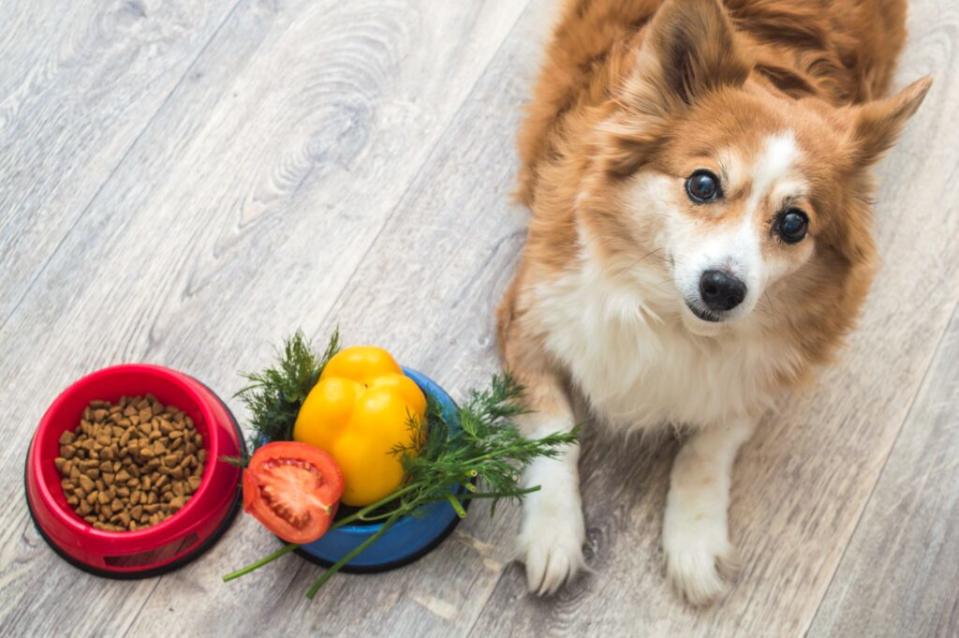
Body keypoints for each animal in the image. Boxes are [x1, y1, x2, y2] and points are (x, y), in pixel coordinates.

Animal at [498, 0, 932, 604]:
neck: (671, 319)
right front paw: (553, 535)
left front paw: (694, 543)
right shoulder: (528, 317)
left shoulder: (762, 375)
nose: (723, 288)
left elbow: (707, 449)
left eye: (794, 224)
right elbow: (554, 430)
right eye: (702, 185)